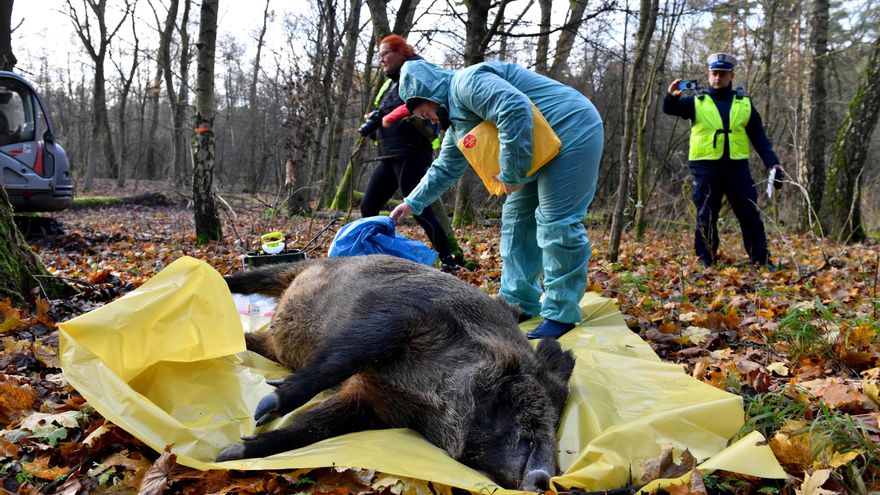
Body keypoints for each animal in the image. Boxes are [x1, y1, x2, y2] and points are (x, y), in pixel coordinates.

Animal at [216, 254, 575, 491]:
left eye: (559, 415)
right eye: (539, 396)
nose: (546, 479)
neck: (428, 400)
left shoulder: (371, 403)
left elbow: (313, 427)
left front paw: (228, 455)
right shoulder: (400, 317)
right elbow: (340, 361)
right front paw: (264, 408)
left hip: (270, 341)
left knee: (249, 340)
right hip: (292, 270)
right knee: (245, 278)